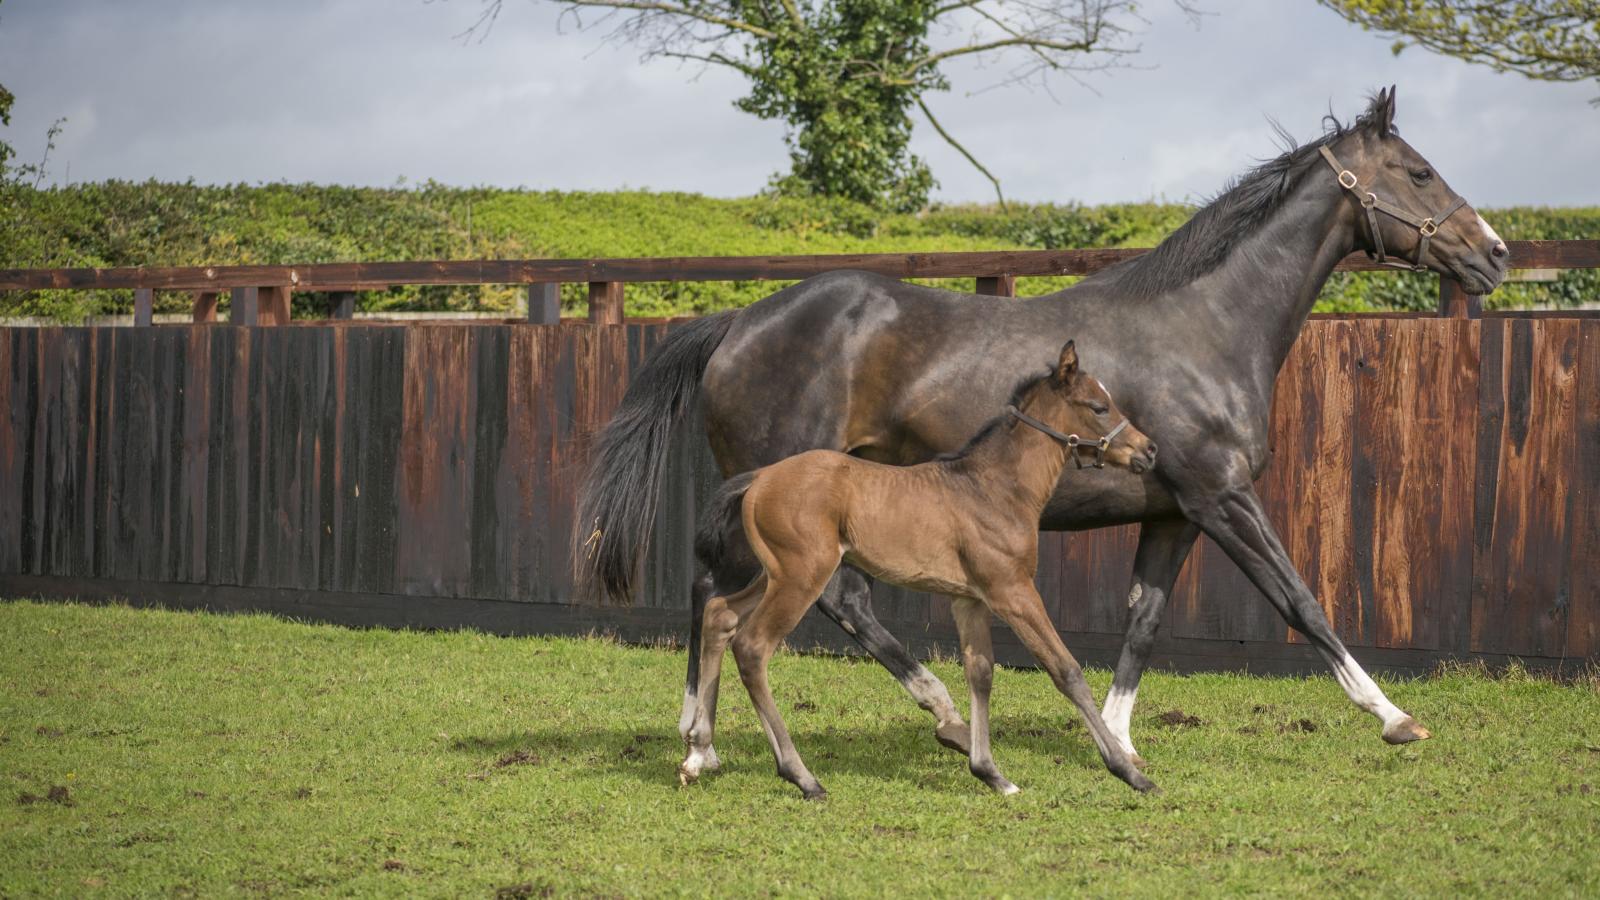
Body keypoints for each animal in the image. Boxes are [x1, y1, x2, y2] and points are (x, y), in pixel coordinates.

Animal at [678, 340, 1159, 799]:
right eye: (1099, 406)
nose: (1149, 450)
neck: (994, 487)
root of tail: (759, 478)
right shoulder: (1012, 589)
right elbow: (1065, 669)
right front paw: (1129, 772)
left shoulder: (969, 598)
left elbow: (980, 672)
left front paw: (991, 774)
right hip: (801, 575)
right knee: (753, 646)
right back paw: (802, 777)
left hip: (773, 574)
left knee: (720, 614)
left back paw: (698, 749)